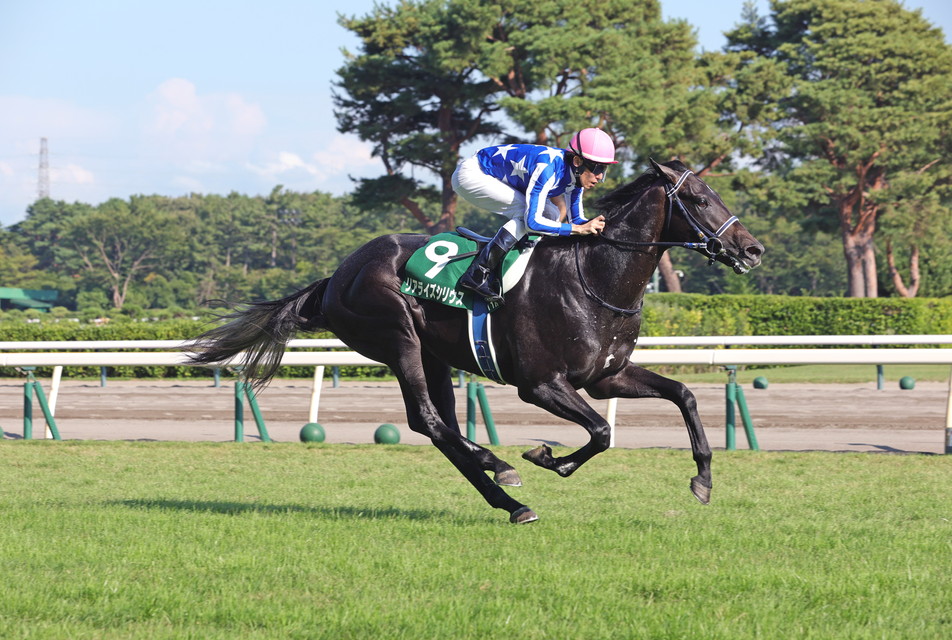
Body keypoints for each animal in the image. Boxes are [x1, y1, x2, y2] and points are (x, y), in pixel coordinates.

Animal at [187, 159, 764, 524]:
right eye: (698, 199)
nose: (751, 248)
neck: (594, 277)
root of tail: (334, 277)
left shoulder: (606, 376)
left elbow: (683, 395)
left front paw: (703, 480)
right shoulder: (540, 384)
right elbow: (601, 432)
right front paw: (549, 458)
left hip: (435, 355)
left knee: (437, 423)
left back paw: (498, 475)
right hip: (397, 338)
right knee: (429, 421)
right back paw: (505, 488)